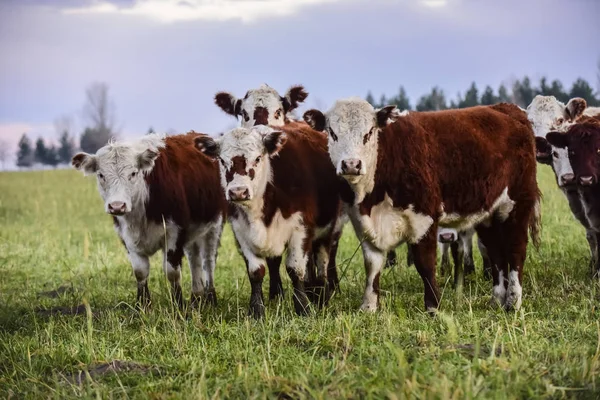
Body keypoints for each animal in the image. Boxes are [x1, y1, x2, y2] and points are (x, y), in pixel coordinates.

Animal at [72, 134, 227, 310]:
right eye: (101, 175)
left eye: (133, 173)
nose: (117, 206)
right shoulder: (127, 237)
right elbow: (140, 272)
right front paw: (143, 305)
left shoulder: (174, 234)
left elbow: (172, 273)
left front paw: (178, 305)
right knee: (194, 260)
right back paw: (196, 297)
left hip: (214, 227)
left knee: (208, 261)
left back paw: (210, 298)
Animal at [193, 123, 340, 318]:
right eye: (222, 161)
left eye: (257, 158)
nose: (238, 192)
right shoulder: (241, 232)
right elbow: (256, 272)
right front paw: (257, 310)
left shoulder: (301, 228)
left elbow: (295, 269)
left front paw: (303, 307)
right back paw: (278, 295)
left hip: (325, 231)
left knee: (321, 258)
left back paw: (321, 295)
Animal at [302, 99, 540, 312]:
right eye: (332, 133)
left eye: (369, 133)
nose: (351, 164)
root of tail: (506, 108)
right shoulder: (365, 224)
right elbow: (372, 265)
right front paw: (368, 307)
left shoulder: (424, 218)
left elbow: (424, 264)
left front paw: (433, 307)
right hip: (488, 214)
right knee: (496, 253)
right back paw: (496, 300)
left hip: (518, 204)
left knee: (515, 250)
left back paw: (513, 303)